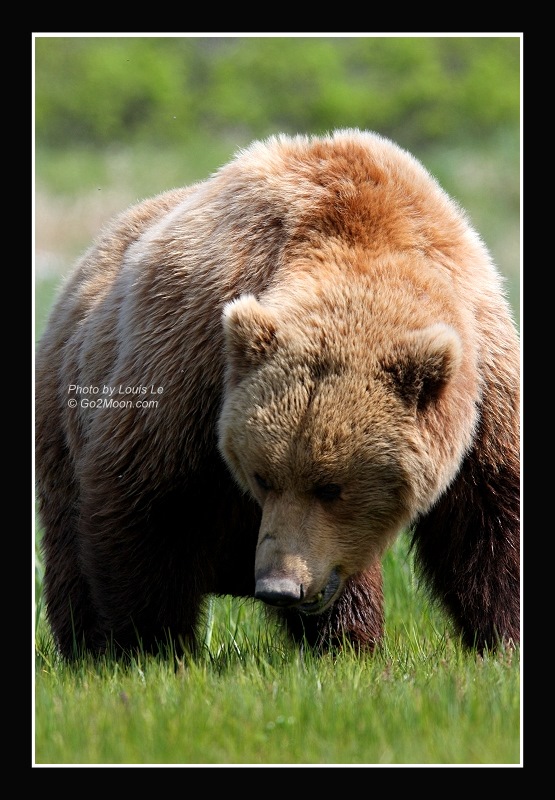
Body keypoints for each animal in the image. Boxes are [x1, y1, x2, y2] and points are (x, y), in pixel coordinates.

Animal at [35, 129, 520, 660]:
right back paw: (83, 645)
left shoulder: (486, 379)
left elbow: (490, 514)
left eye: (331, 487)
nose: (279, 586)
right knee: (68, 547)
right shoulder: (194, 365)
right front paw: (150, 646)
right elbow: (149, 504)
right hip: (65, 412)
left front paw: (501, 641)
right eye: (262, 476)